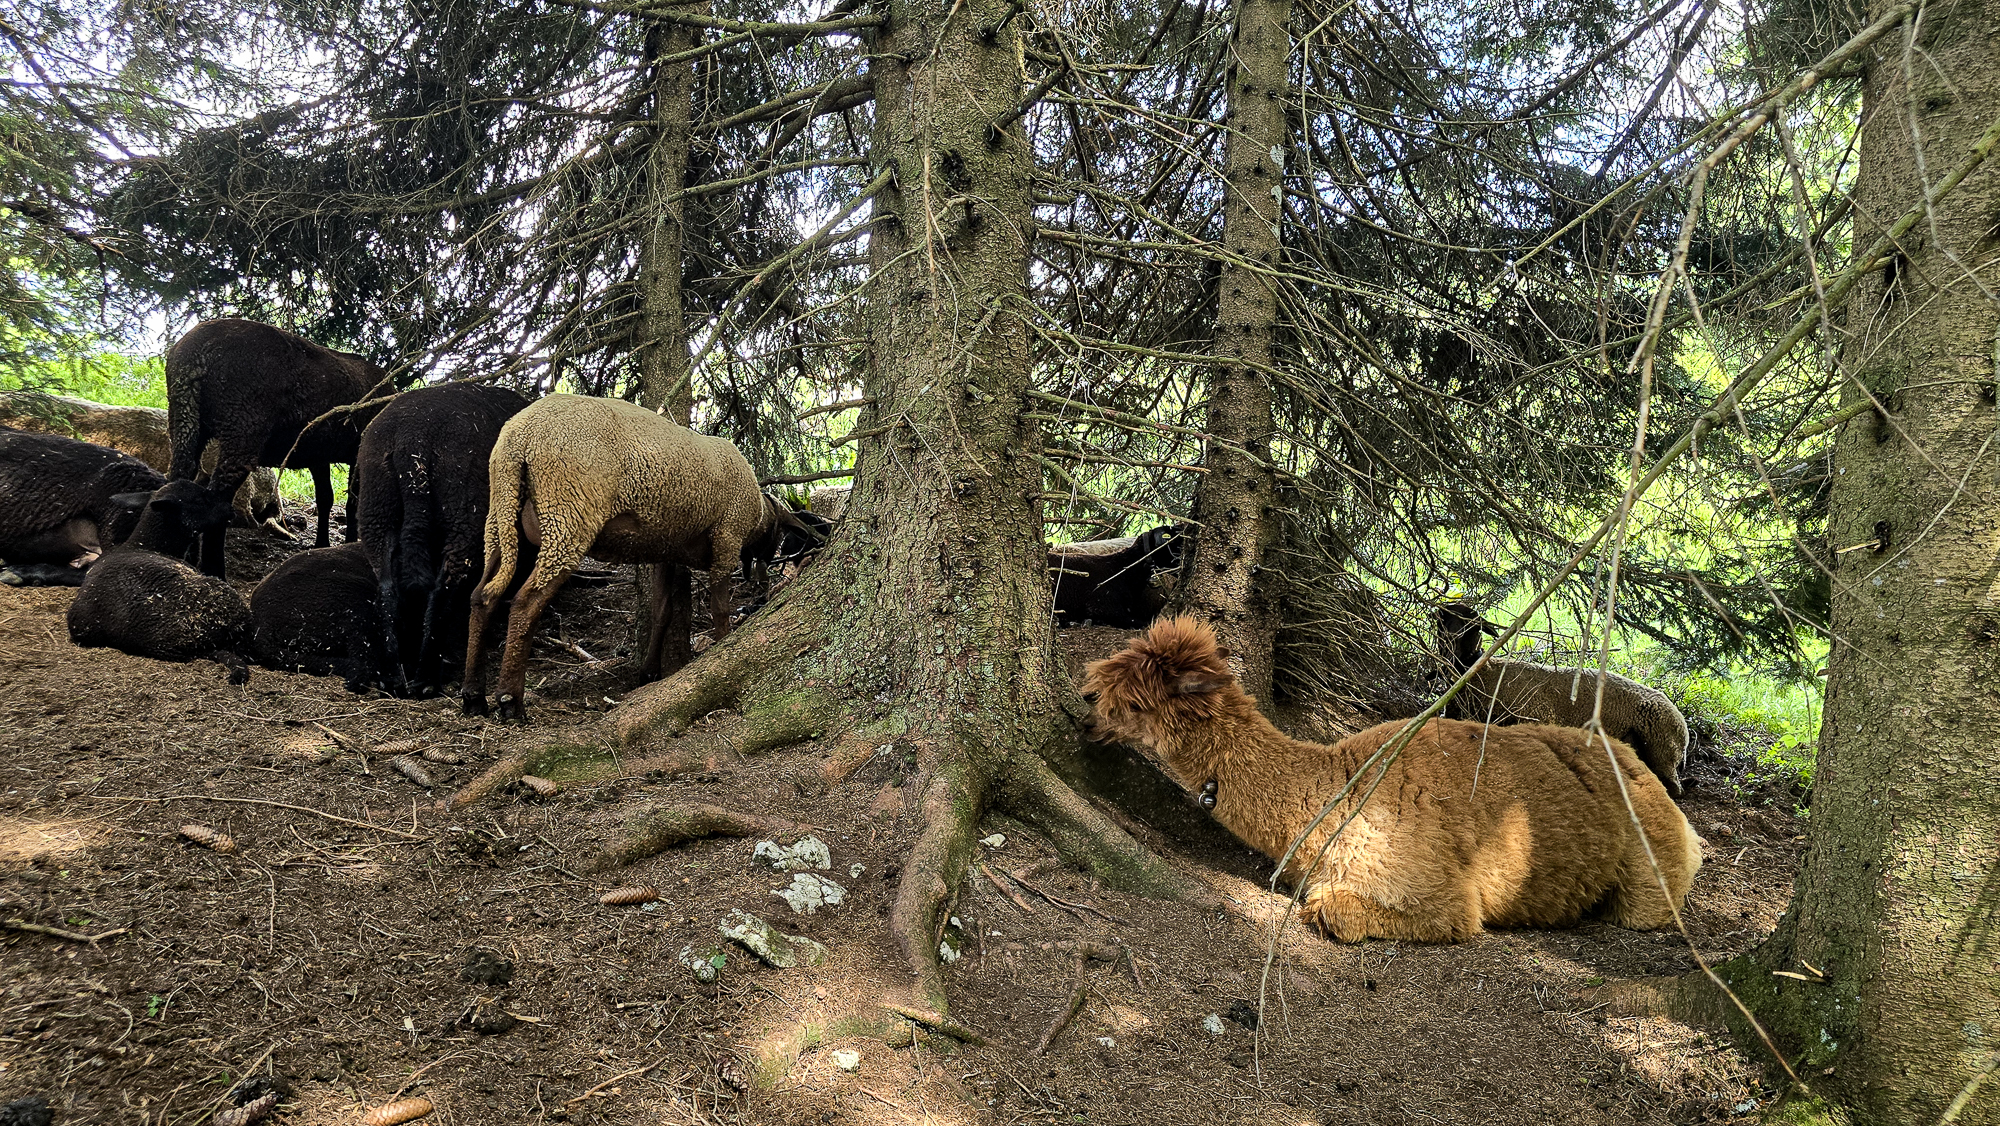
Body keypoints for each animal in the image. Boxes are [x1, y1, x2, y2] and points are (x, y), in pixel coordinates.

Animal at [164, 318, 395, 576]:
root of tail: (194, 354)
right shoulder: (357, 451)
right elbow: (352, 504)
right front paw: (348, 545)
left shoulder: (317, 454)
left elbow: (325, 498)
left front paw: (321, 545)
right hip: (242, 428)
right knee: (217, 497)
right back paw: (214, 570)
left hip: (185, 419)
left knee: (178, 478)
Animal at [353, 382, 530, 697]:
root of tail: (412, 440)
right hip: (462, 511)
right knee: (444, 588)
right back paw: (426, 679)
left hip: (377, 510)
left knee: (388, 589)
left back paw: (394, 676)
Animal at [461, 394, 806, 721]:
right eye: (779, 535)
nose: (762, 582)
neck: (757, 514)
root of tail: (519, 437)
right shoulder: (726, 538)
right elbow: (719, 609)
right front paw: (723, 649)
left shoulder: (667, 552)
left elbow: (661, 612)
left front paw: (649, 672)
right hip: (567, 517)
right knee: (524, 603)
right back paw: (510, 700)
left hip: (502, 517)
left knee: (482, 597)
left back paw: (473, 696)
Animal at [1435, 601, 1689, 796]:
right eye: (1443, 623)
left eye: (1469, 624)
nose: (1450, 650)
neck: (1481, 673)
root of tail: (1683, 727)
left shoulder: (1538, 715)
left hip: (1661, 747)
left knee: (1674, 788)